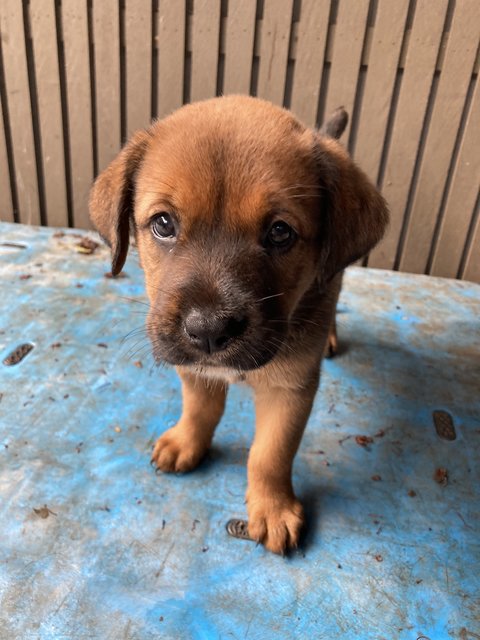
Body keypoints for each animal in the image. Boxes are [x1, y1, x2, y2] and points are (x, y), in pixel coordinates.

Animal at [90, 95, 390, 556]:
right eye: (163, 224)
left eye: (280, 232)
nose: (208, 330)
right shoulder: (193, 368)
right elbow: (200, 409)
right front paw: (187, 442)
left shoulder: (290, 389)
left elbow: (269, 455)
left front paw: (273, 508)